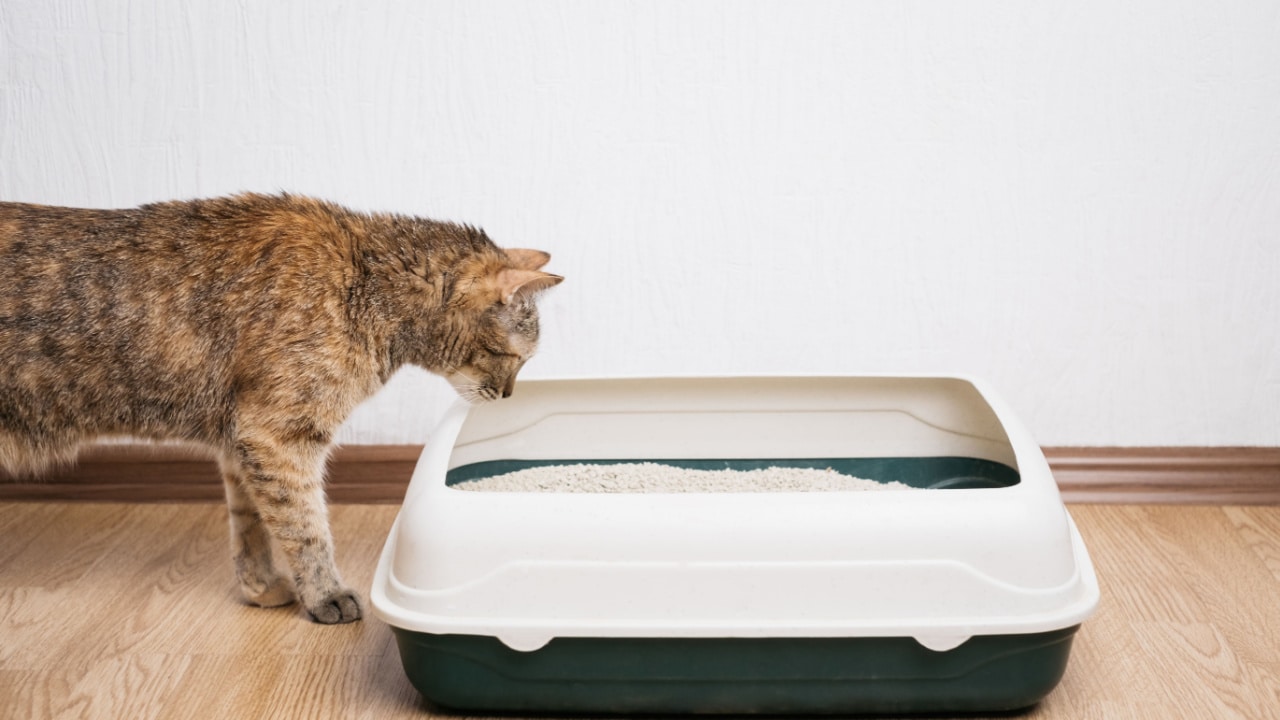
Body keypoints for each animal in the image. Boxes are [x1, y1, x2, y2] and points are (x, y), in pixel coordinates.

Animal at [0, 192, 560, 622]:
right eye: (513, 358)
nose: (508, 395)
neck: (363, 283)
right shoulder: (278, 435)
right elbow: (306, 526)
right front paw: (325, 595)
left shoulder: (240, 441)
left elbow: (252, 525)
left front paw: (262, 587)